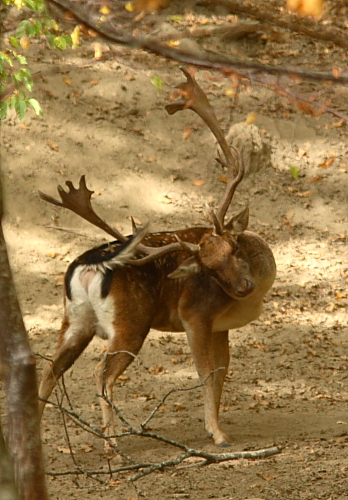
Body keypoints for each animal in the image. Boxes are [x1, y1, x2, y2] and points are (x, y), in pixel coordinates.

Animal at [38, 69, 276, 454]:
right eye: (209, 269)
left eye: (234, 249)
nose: (244, 286)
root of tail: (86, 269)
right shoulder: (196, 315)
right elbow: (206, 373)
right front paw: (218, 435)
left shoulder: (221, 326)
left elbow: (222, 372)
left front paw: (215, 427)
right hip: (131, 321)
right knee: (101, 373)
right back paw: (113, 445)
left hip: (74, 320)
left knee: (50, 369)